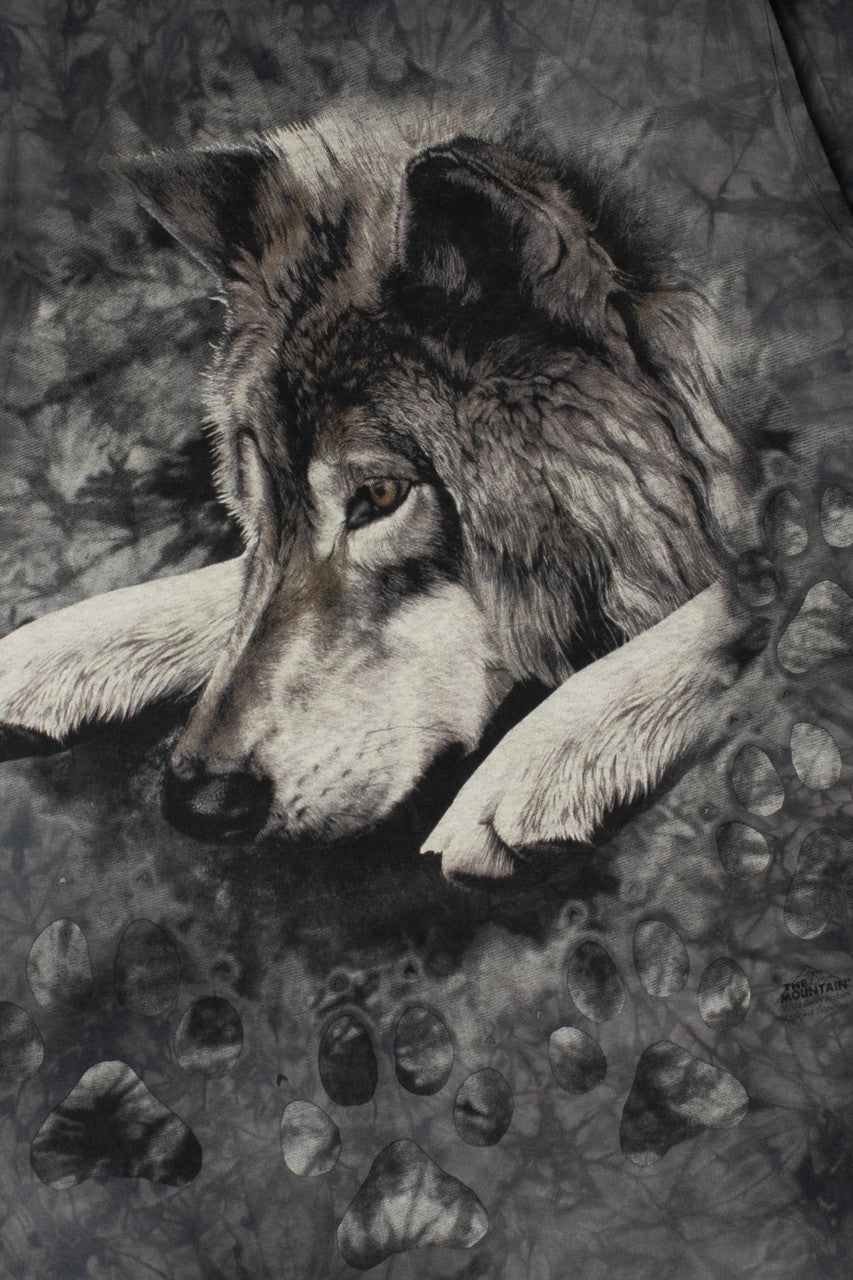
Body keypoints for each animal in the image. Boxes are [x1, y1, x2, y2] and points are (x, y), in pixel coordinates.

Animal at [0, 102, 765, 878]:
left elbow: (734, 601)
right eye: (260, 503)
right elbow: (233, 582)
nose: (197, 802)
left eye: (381, 497)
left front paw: (549, 756)